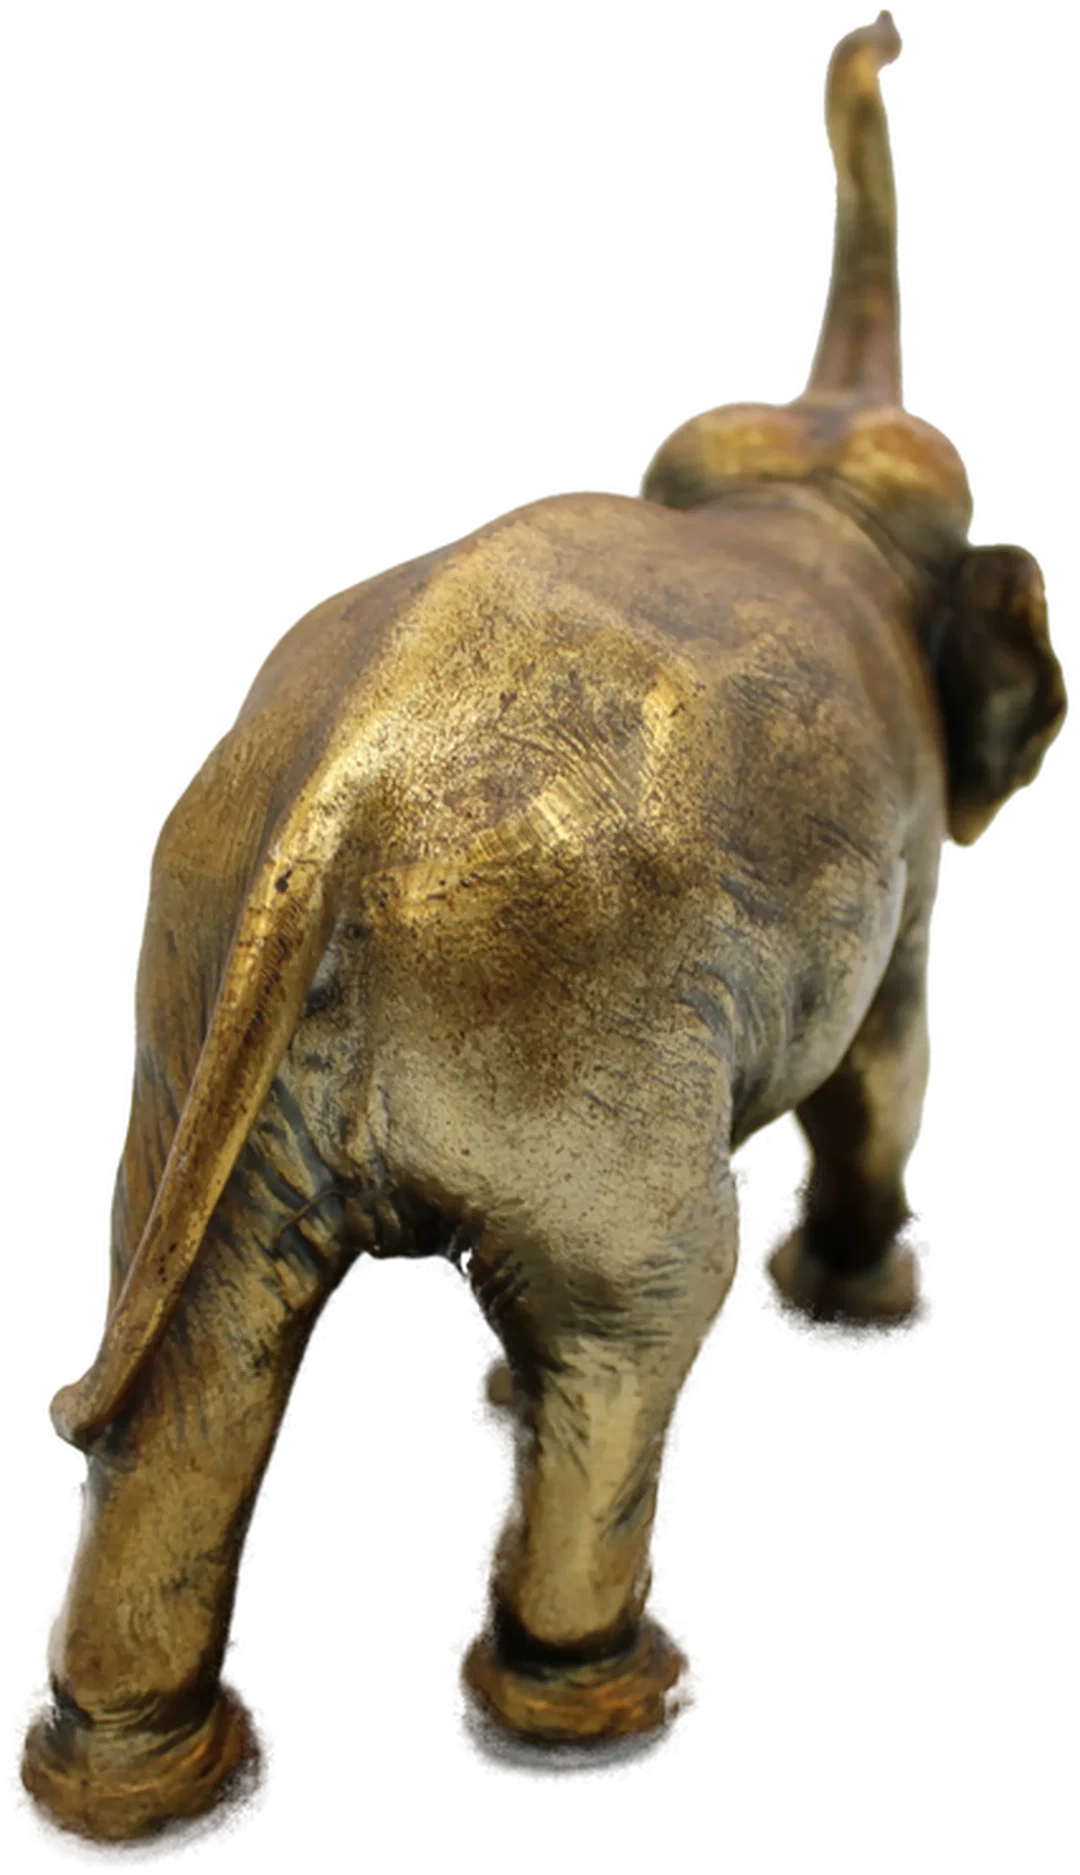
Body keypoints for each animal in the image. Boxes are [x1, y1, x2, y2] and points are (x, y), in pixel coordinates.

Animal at [10, 8, 1070, 1866]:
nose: (881, 38)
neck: (796, 494)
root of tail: (340, 805)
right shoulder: (907, 857)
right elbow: (888, 1072)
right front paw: (869, 1312)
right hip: (574, 1020)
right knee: (646, 1298)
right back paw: (609, 1708)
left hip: (200, 1035)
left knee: (194, 1375)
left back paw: (143, 1785)